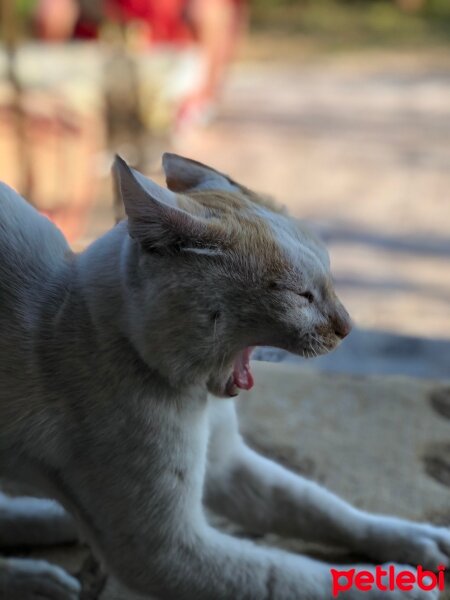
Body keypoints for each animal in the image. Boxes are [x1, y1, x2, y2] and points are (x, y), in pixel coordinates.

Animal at [0, 156, 448, 600]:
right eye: (300, 295)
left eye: (330, 279)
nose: (348, 327)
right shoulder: (166, 553)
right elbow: (293, 576)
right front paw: (397, 587)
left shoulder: (226, 466)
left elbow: (324, 508)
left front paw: (424, 542)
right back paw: (41, 578)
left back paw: (61, 523)